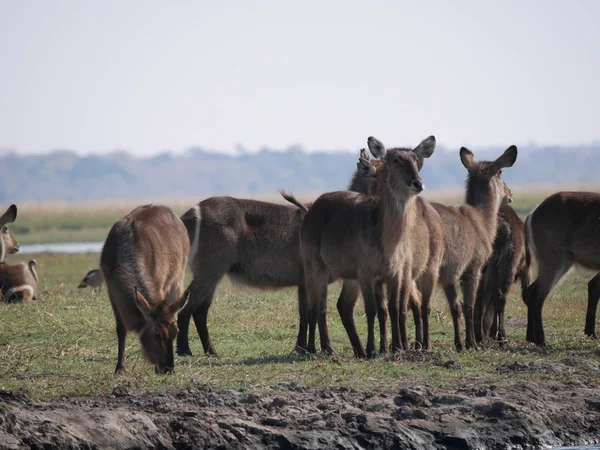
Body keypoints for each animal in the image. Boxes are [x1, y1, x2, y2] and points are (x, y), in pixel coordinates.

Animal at [101, 206, 190, 374]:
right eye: (157, 333)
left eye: (176, 332)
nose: (168, 368)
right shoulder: (112, 292)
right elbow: (120, 330)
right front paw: (120, 368)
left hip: (177, 279)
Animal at [294, 135, 436, 356]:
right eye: (395, 160)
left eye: (415, 160)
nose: (418, 183)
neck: (387, 241)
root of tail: (312, 208)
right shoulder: (366, 272)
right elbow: (372, 310)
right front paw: (373, 349)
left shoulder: (395, 273)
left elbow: (394, 308)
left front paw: (396, 347)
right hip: (315, 267)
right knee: (317, 305)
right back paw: (319, 347)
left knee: (332, 305)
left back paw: (342, 348)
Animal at [476, 206, 528, 342]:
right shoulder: (525, 269)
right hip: (507, 265)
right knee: (500, 297)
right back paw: (501, 335)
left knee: (481, 297)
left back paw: (480, 335)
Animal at [524, 192, 600, 346]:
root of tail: (533, 213)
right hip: (554, 262)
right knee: (537, 296)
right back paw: (541, 340)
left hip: (561, 263)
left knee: (530, 292)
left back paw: (531, 337)